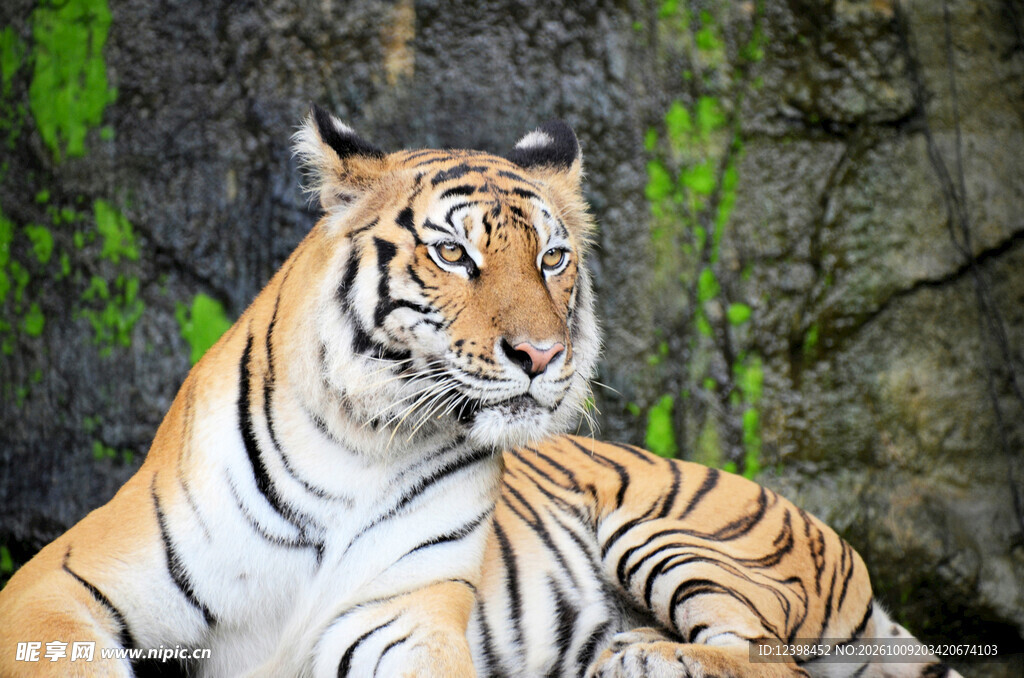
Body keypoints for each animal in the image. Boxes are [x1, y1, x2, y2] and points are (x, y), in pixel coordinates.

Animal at [0, 106, 961, 678]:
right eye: (454, 253)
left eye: (553, 257)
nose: (541, 354)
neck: (360, 440)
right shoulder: (58, 588)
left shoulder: (400, 615)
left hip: (678, 535)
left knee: (771, 660)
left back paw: (640, 658)